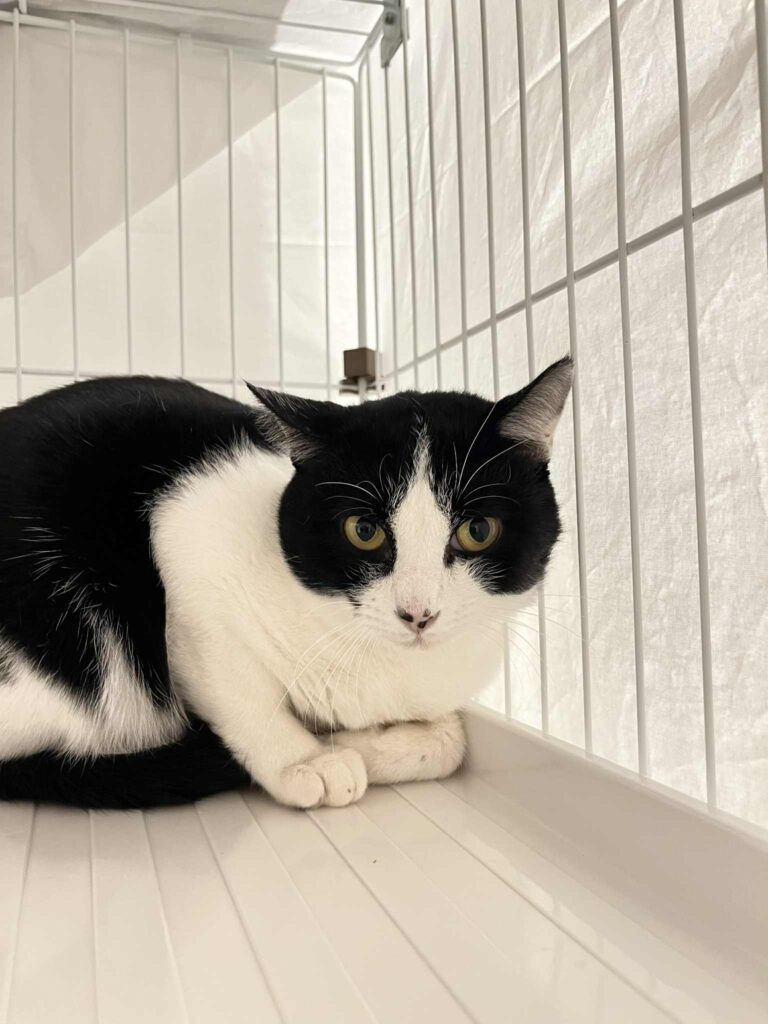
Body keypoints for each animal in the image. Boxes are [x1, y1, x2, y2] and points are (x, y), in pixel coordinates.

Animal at [0, 356, 572, 808]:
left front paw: (361, 745)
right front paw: (306, 760)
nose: (419, 614)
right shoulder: (184, 536)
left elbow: (452, 742)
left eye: (478, 530)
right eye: (363, 531)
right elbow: (238, 686)